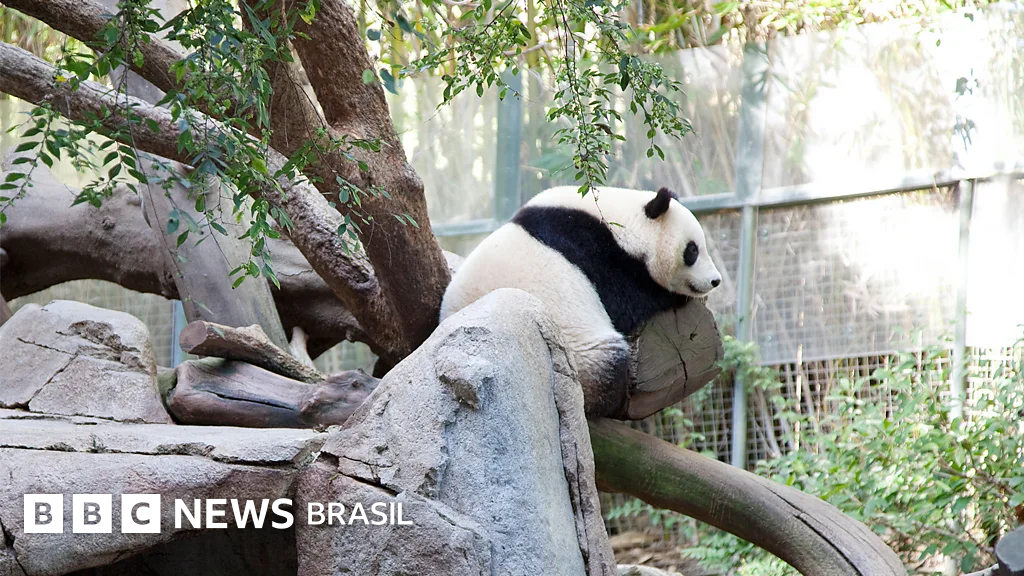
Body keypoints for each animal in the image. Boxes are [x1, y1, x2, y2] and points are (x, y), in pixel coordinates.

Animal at [440, 185, 722, 417]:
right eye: (692, 250)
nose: (715, 280)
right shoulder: (595, 254)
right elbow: (628, 301)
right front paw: (678, 296)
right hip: (580, 356)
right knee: (608, 366)